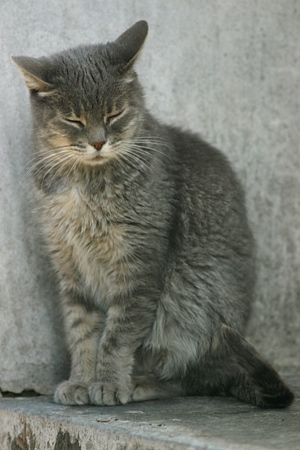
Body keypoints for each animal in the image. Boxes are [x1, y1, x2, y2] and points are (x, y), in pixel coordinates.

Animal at [12, 20, 294, 408]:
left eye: (114, 114)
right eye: (74, 119)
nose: (98, 142)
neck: (85, 185)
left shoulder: (139, 265)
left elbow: (117, 333)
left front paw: (108, 382)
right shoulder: (70, 268)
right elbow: (81, 332)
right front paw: (81, 380)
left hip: (190, 296)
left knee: (196, 378)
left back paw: (141, 383)